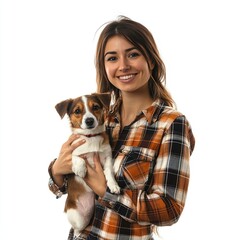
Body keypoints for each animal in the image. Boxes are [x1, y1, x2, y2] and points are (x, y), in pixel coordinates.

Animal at [55, 93, 121, 237]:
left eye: (95, 107)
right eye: (77, 111)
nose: (89, 121)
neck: (91, 137)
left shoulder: (107, 157)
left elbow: (109, 171)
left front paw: (113, 185)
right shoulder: (70, 150)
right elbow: (76, 156)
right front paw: (80, 169)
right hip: (77, 217)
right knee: (77, 229)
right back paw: (78, 234)